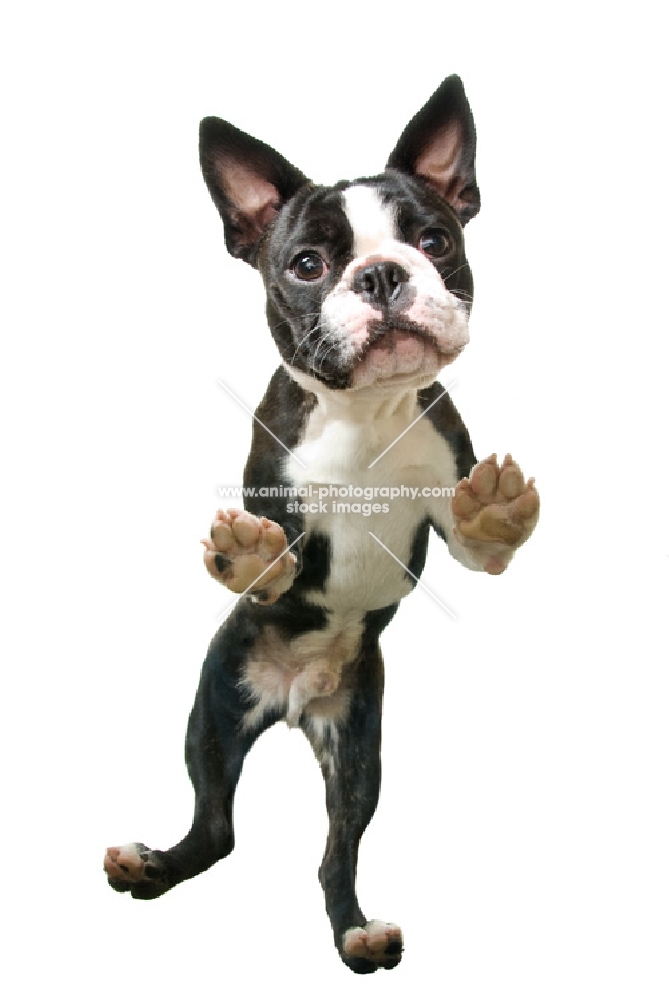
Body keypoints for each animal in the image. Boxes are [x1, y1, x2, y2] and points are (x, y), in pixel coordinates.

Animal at [105, 74, 544, 972]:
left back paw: (356, 933)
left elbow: (477, 543)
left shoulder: (442, 502)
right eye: (307, 264)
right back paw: (150, 866)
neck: (366, 413)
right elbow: (277, 556)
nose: (380, 276)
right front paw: (247, 555)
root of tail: (294, 695)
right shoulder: (280, 502)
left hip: (358, 744)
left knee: (332, 851)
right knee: (215, 827)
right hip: (214, 705)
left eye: (434, 240)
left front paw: (495, 509)